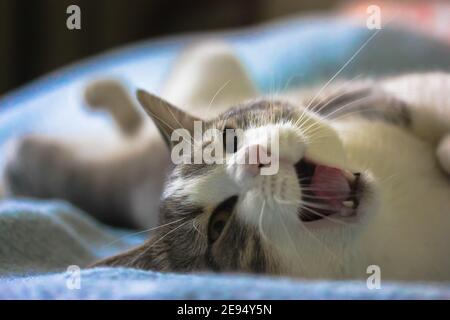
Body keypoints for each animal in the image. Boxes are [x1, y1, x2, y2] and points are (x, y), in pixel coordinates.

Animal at [0, 43, 450, 280]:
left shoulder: (372, 98)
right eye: (219, 225)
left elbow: (432, 100)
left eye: (230, 139)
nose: (255, 158)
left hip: (214, 60)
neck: (393, 214)